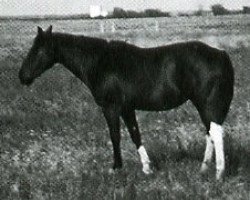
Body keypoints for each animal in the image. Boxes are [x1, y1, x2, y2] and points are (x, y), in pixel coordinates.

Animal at [19, 25, 234, 180]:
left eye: (38, 51)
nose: (22, 77)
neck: (100, 62)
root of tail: (221, 54)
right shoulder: (127, 108)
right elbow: (135, 134)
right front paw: (147, 168)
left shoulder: (111, 108)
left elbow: (115, 136)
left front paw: (116, 168)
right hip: (203, 105)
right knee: (210, 133)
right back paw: (203, 169)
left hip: (207, 104)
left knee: (215, 133)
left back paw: (219, 173)